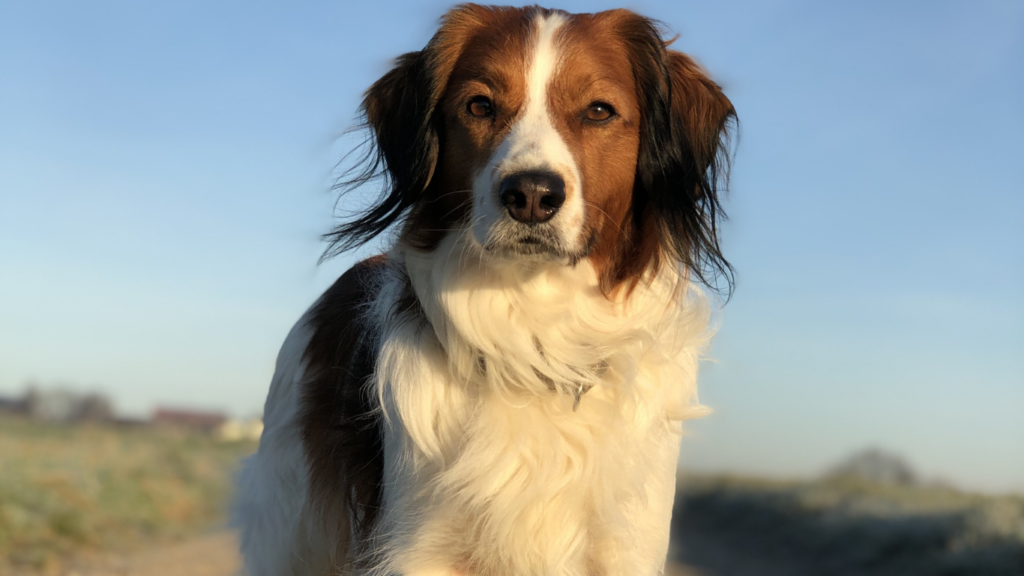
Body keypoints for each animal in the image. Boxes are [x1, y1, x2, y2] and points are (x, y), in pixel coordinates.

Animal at [237, 5, 737, 573]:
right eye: (479, 106)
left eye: (599, 111)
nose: (532, 194)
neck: (538, 343)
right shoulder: (419, 545)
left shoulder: (626, 547)